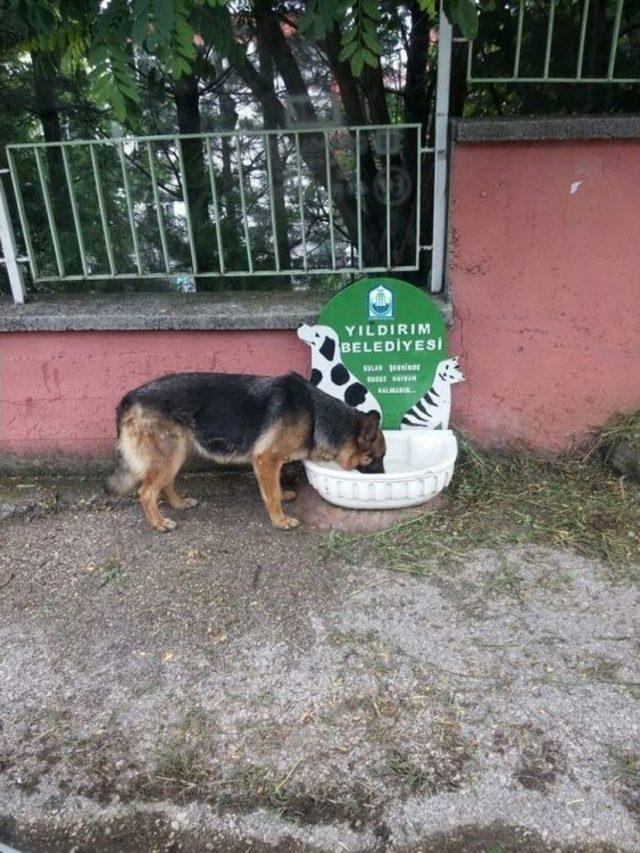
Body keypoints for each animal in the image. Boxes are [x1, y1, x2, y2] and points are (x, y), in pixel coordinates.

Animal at [106, 372, 384, 532]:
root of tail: (128, 398)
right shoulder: (266, 458)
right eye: (377, 457)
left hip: (176, 453)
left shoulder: (272, 461)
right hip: (169, 456)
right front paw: (280, 520)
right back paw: (159, 522)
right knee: (145, 492)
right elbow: (271, 493)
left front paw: (283, 497)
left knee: (163, 484)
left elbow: (274, 487)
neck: (317, 414)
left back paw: (179, 503)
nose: (381, 478)